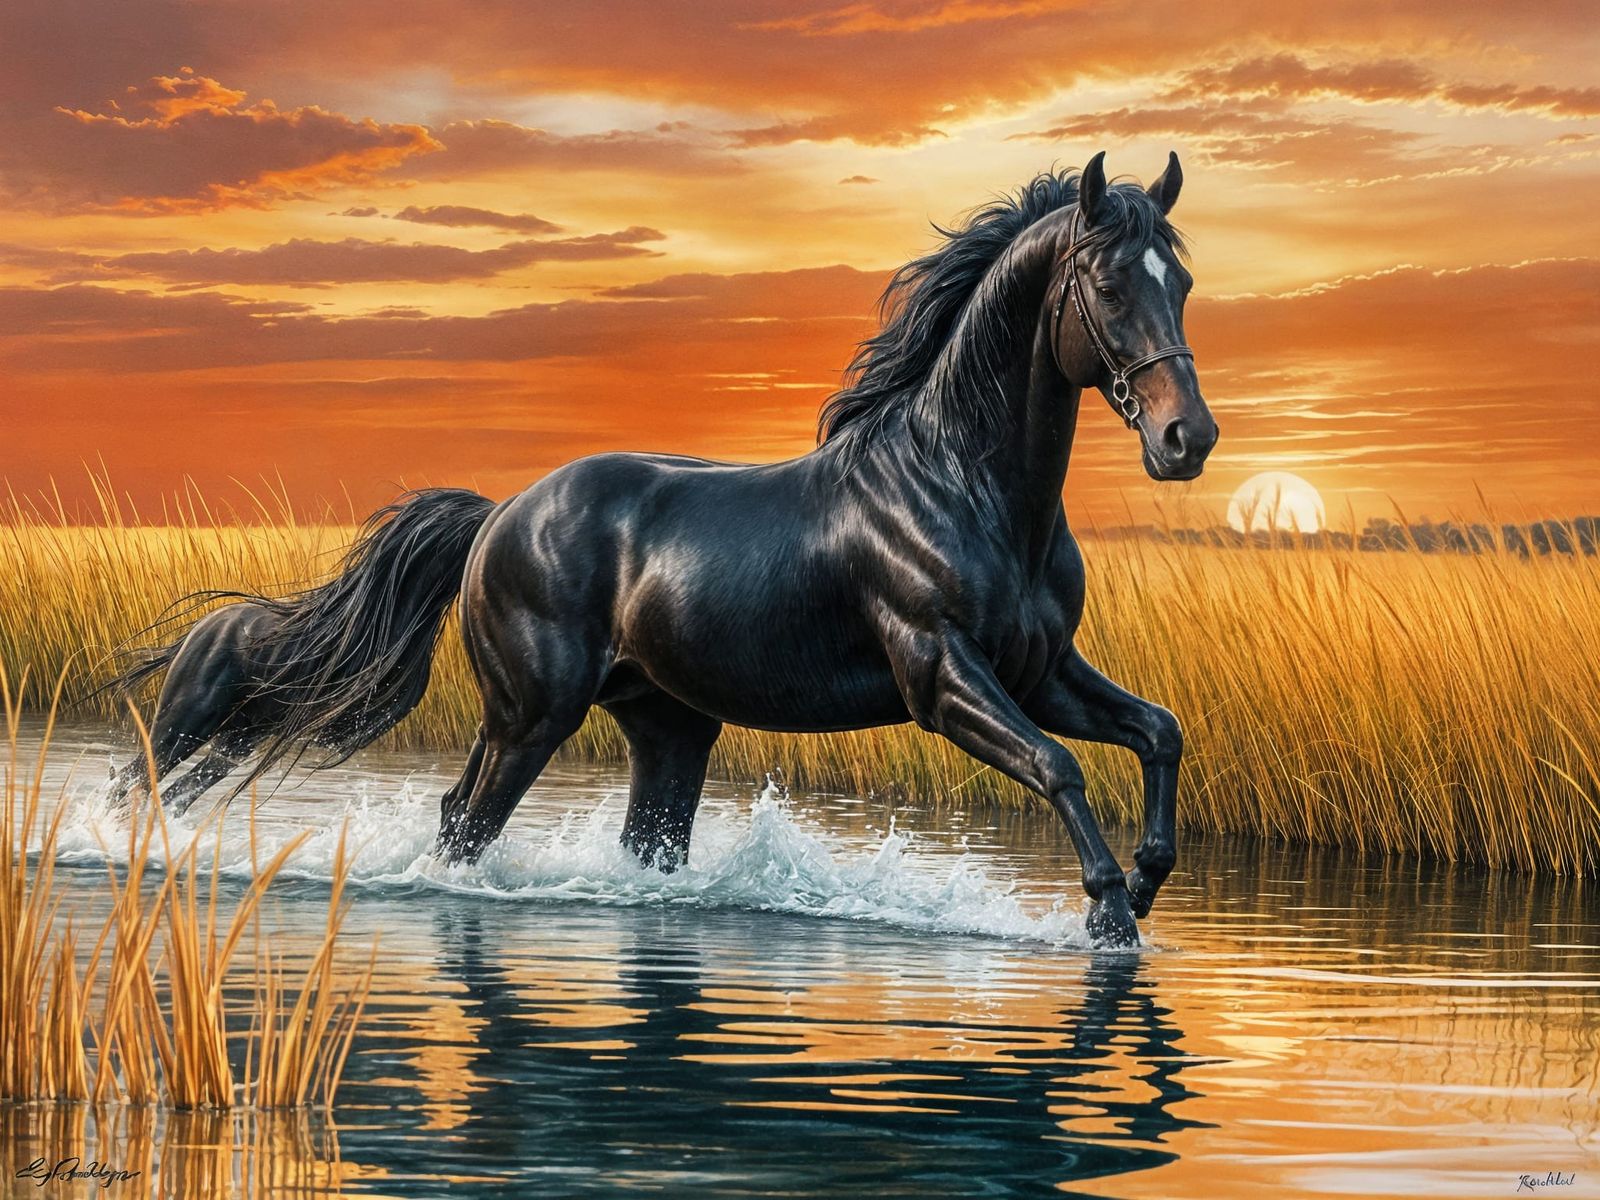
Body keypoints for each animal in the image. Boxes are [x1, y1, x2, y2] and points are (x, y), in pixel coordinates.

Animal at [113, 152, 1216, 946]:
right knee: (465, 822)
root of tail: (500, 515)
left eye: (1186, 282)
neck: (967, 488)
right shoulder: (941, 675)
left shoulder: (1042, 668)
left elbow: (1158, 731)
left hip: (667, 724)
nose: (1186, 439)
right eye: (1109, 286)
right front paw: (1108, 916)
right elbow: (1058, 766)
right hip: (532, 715)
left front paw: (1147, 884)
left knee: (620, 838)